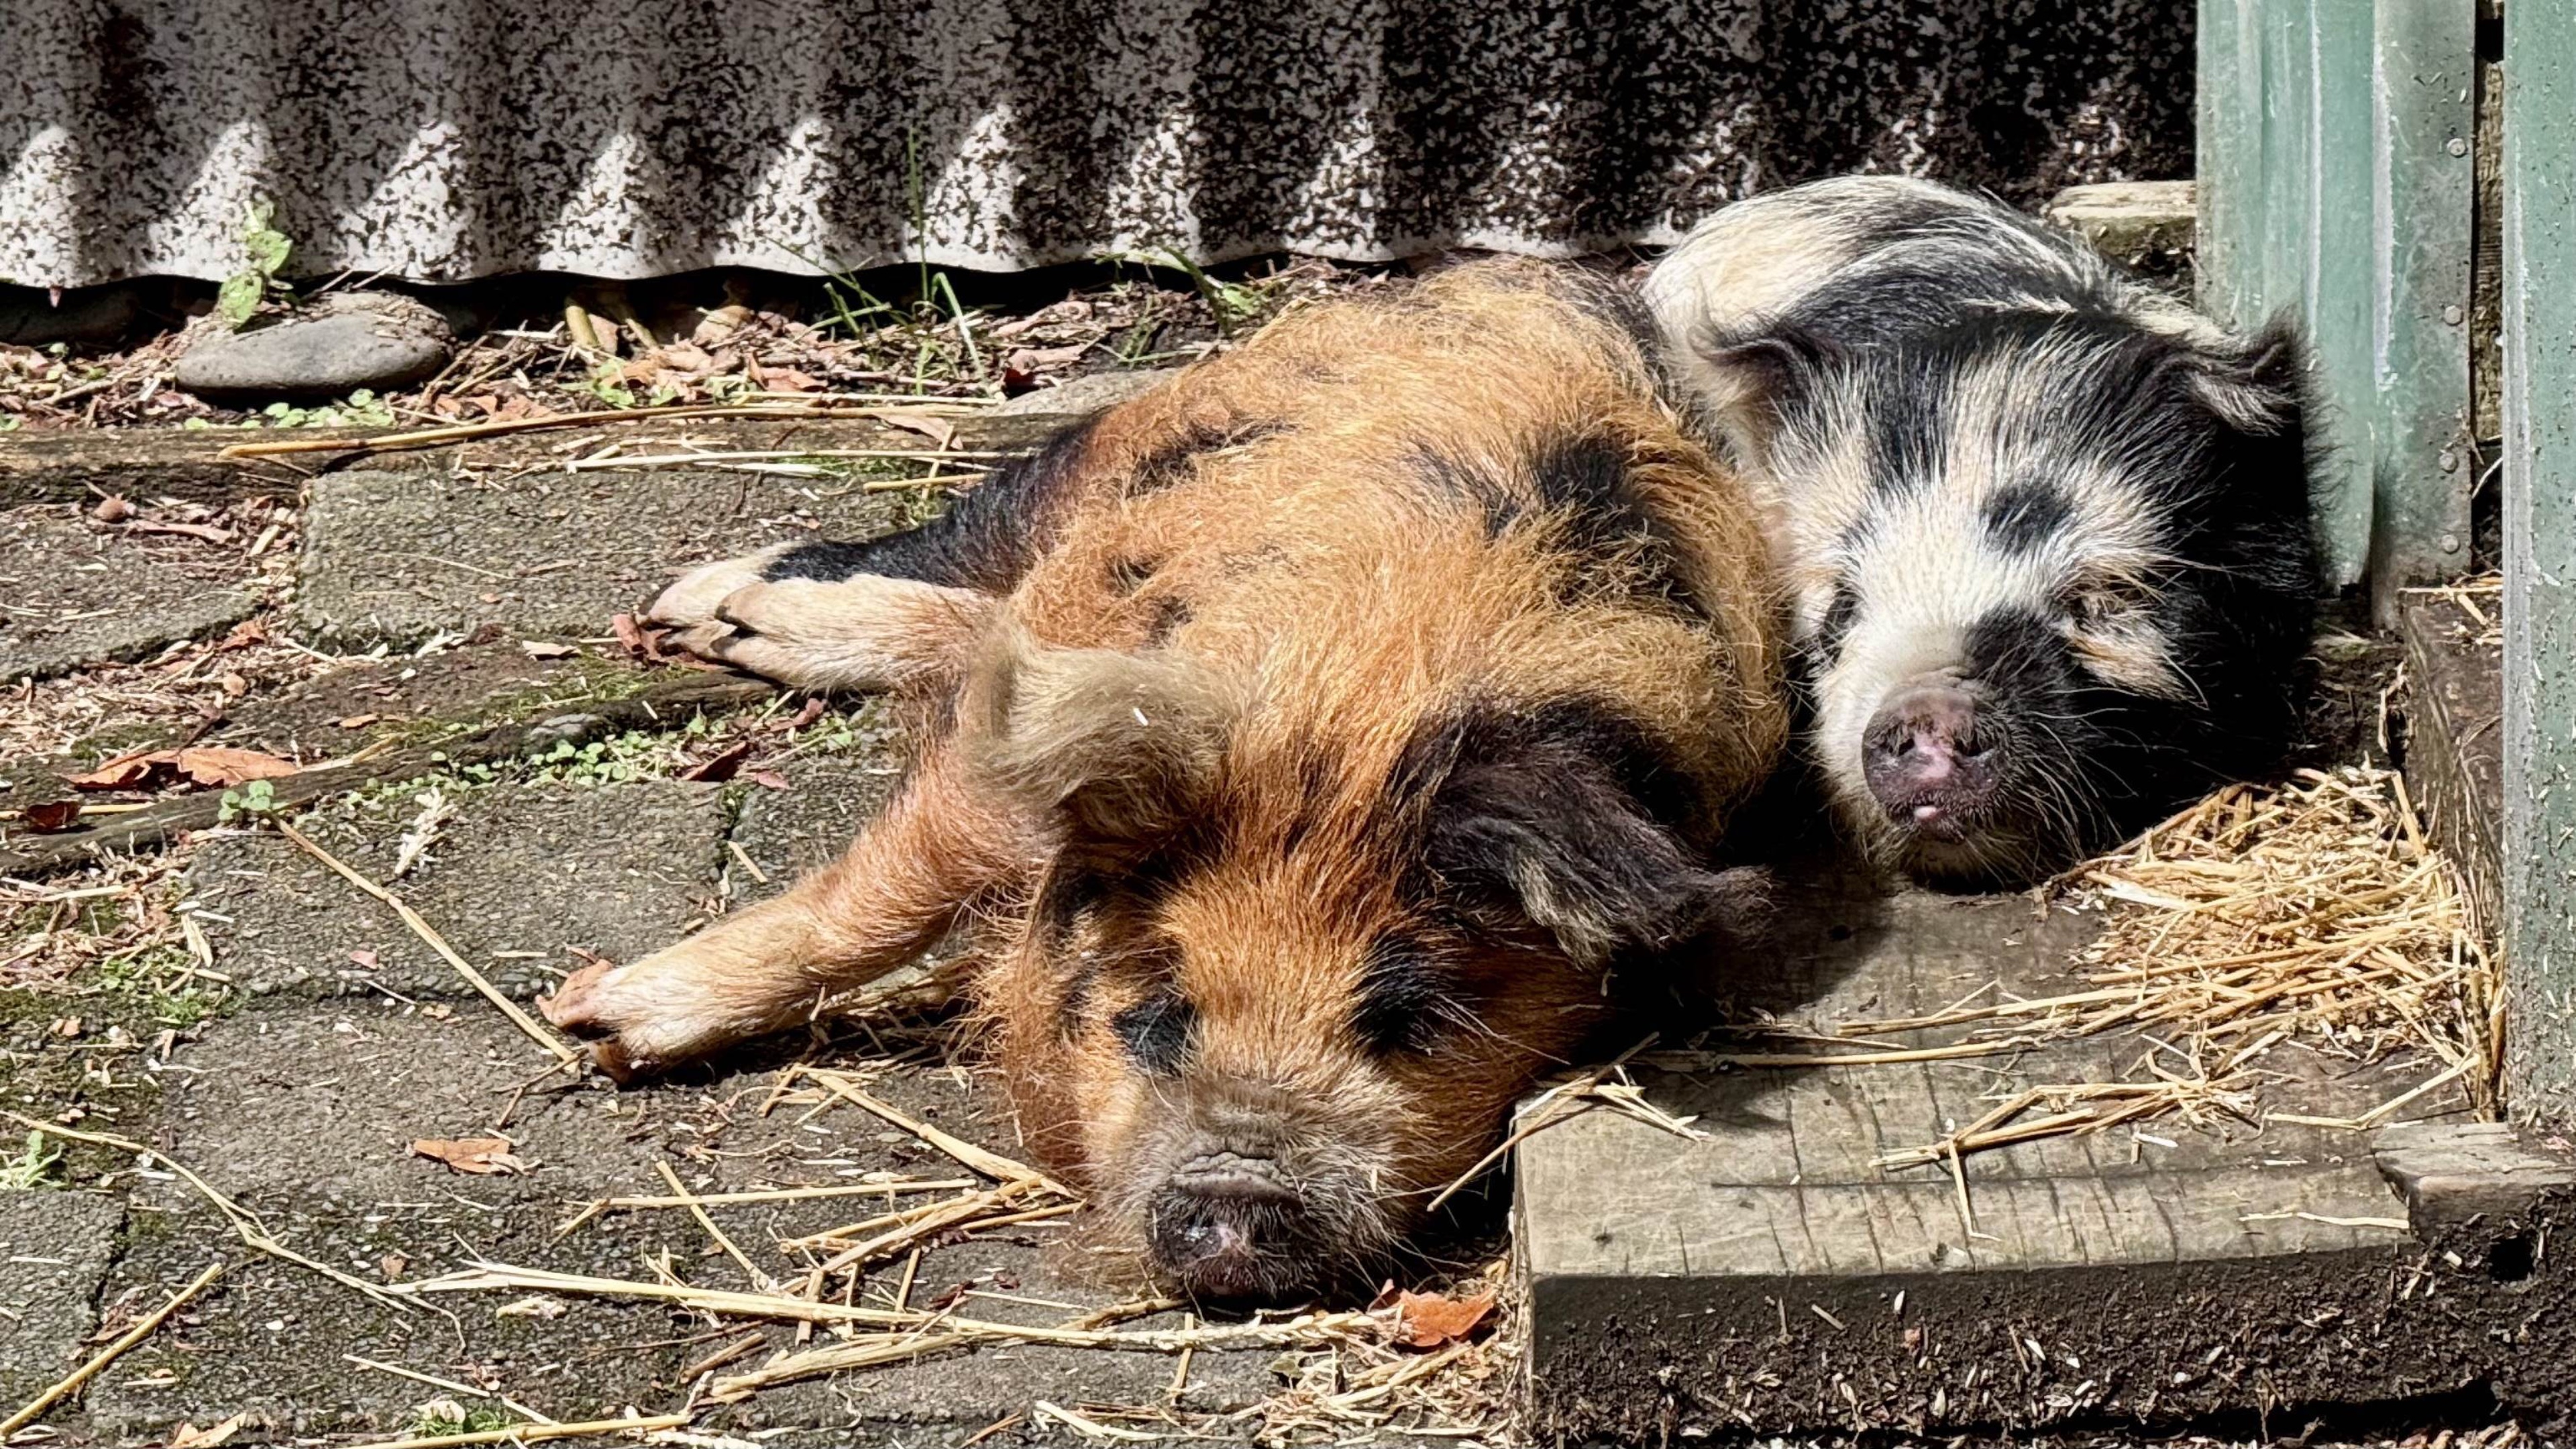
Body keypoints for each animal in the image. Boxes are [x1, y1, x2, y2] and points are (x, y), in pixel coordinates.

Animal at [540, 260, 1788, 1299]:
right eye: (1158, 1014)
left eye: (1408, 1018)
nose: (1237, 1190)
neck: (1351, 713)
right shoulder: (1003, 781)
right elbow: (882, 893)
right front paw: (594, 1027)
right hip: (1110, 451)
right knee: (964, 542)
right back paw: (713, 609)